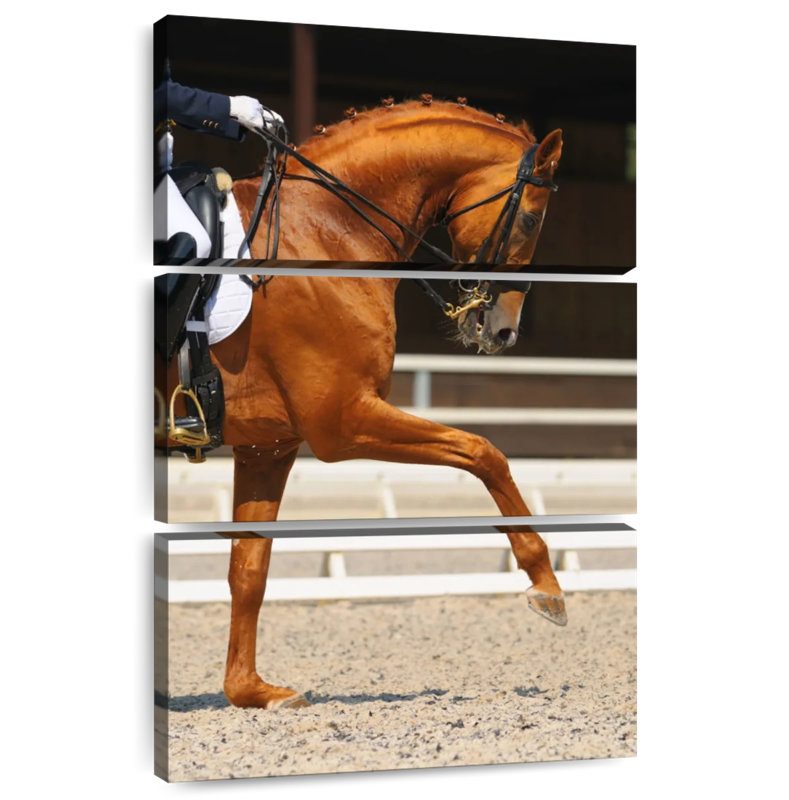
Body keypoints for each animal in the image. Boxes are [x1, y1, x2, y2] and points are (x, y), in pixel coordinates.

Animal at [165, 100, 565, 710]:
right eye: (529, 219)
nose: (503, 331)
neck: (327, 230)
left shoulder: (269, 446)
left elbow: (249, 568)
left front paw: (252, 691)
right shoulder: (343, 421)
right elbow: (483, 451)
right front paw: (546, 583)